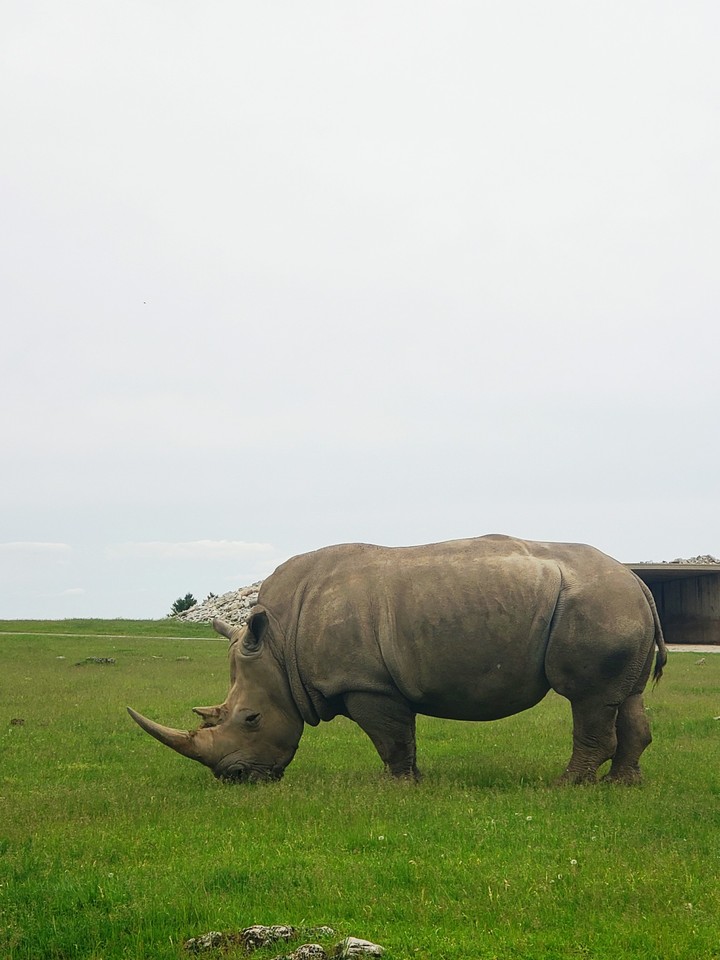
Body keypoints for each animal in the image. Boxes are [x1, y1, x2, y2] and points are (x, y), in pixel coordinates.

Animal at [128, 535, 667, 785]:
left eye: (251, 718)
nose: (235, 779)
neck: (280, 645)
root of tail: (637, 580)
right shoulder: (370, 682)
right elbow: (399, 736)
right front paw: (412, 782)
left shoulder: (365, 683)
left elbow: (391, 738)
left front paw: (398, 786)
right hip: (617, 605)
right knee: (628, 696)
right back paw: (622, 787)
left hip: (598, 605)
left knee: (589, 697)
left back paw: (565, 787)